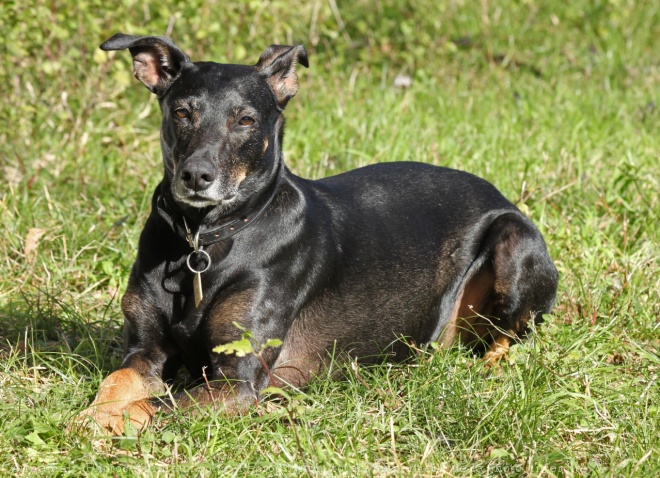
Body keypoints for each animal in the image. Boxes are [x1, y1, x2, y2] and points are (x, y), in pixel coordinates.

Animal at [81, 33, 556, 436]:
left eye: (245, 121)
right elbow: (117, 382)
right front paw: (92, 414)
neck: (205, 239)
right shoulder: (145, 350)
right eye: (181, 113)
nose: (197, 176)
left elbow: (156, 405)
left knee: (510, 337)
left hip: (515, 242)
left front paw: (108, 422)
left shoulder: (239, 379)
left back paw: (487, 370)